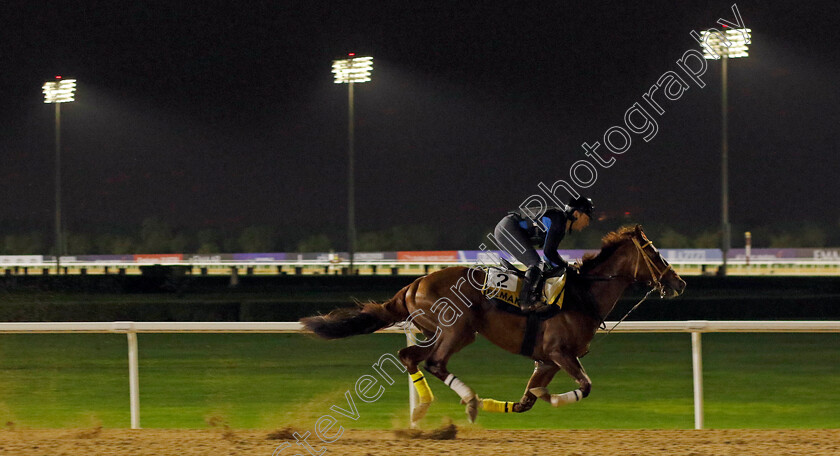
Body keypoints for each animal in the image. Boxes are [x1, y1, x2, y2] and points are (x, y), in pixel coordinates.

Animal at [300, 226, 684, 426]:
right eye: (654, 253)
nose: (678, 282)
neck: (582, 293)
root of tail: (415, 283)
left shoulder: (546, 359)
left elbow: (527, 400)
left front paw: (529, 398)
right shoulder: (561, 353)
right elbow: (585, 386)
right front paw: (549, 397)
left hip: (437, 331)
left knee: (409, 356)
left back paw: (426, 408)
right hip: (458, 329)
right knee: (434, 363)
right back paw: (469, 401)